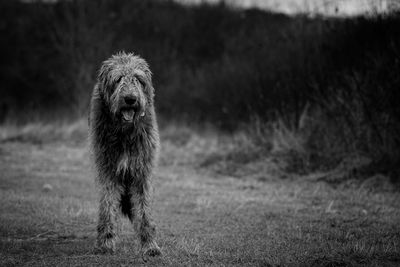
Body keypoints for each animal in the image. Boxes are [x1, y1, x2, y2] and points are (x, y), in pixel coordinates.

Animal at [89, 51, 161, 258]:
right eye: (118, 78)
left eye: (138, 79)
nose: (130, 99)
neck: (125, 132)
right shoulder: (108, 170)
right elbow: (107, 207)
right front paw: (105, 243)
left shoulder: (142, 172)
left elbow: (144, 211)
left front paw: (150, 245)